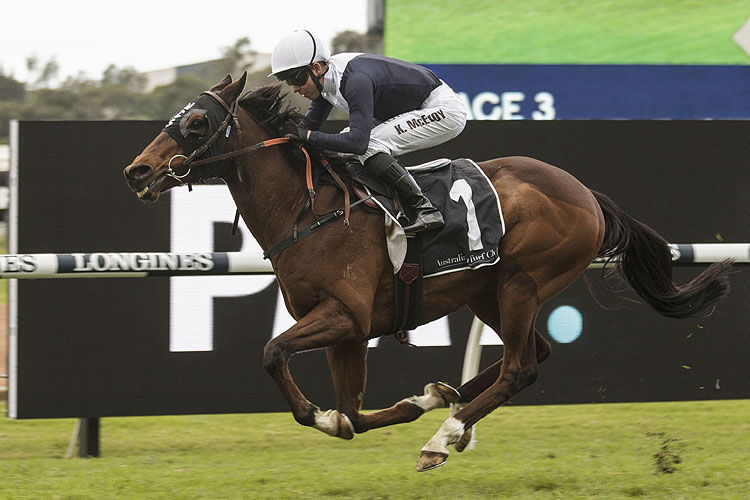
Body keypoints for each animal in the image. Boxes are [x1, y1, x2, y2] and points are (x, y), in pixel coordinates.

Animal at [126, 72, 732, 470]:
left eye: (197, 122)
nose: (138, 171)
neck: (309, 210)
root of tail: (586, 193)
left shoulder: (344, 316)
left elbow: (275, 353)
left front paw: (325, 415)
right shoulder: (349, 333)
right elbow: (352, 415)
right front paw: (397, 405)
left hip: (521, 281)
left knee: (520, 369)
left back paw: (444, 437)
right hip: (487, 290)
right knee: (534, 353)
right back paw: (445, 399)